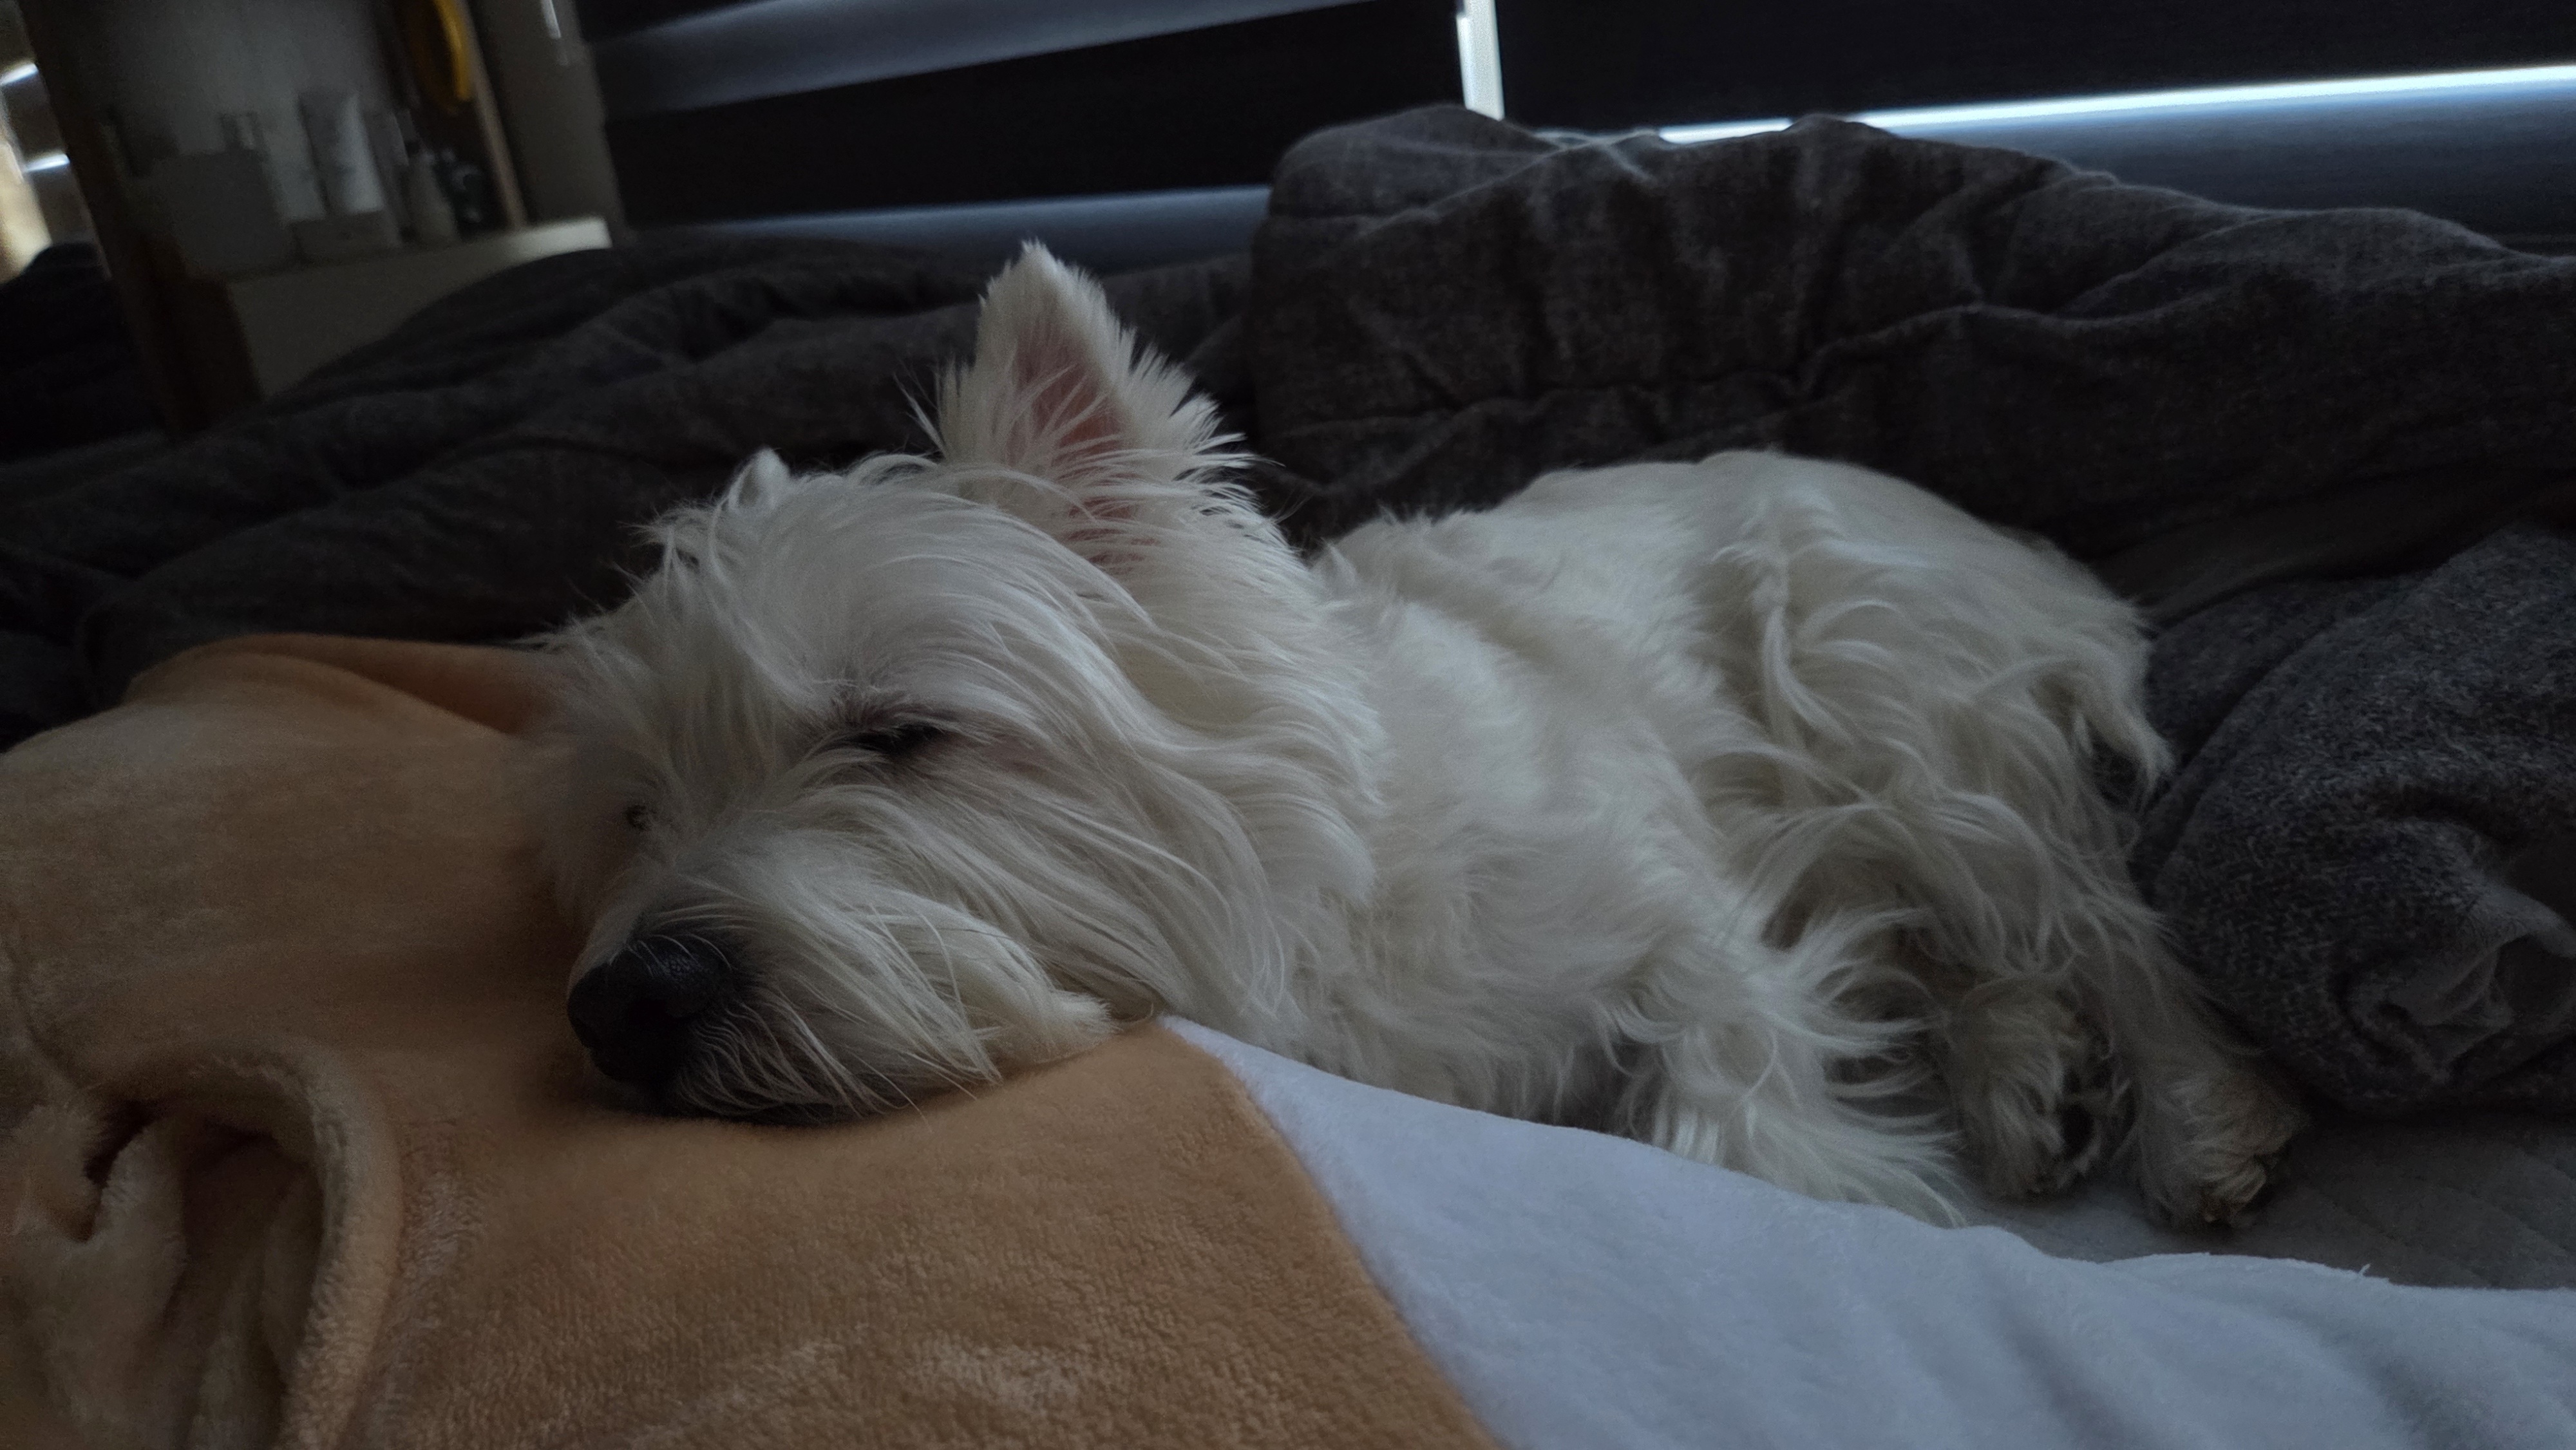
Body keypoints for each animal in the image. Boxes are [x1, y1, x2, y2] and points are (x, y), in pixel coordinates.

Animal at [536, 245, 2302, 1225]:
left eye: (899, 730)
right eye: (630, 809)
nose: (628, 1004)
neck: (1324, 921)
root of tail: (2034, 549)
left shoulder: (1672, 909)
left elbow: (1731, 1092)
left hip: (1890, 683)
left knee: (2097, 916)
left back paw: (2194, 1115)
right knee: (1978, 945)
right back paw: (2021, 1076)